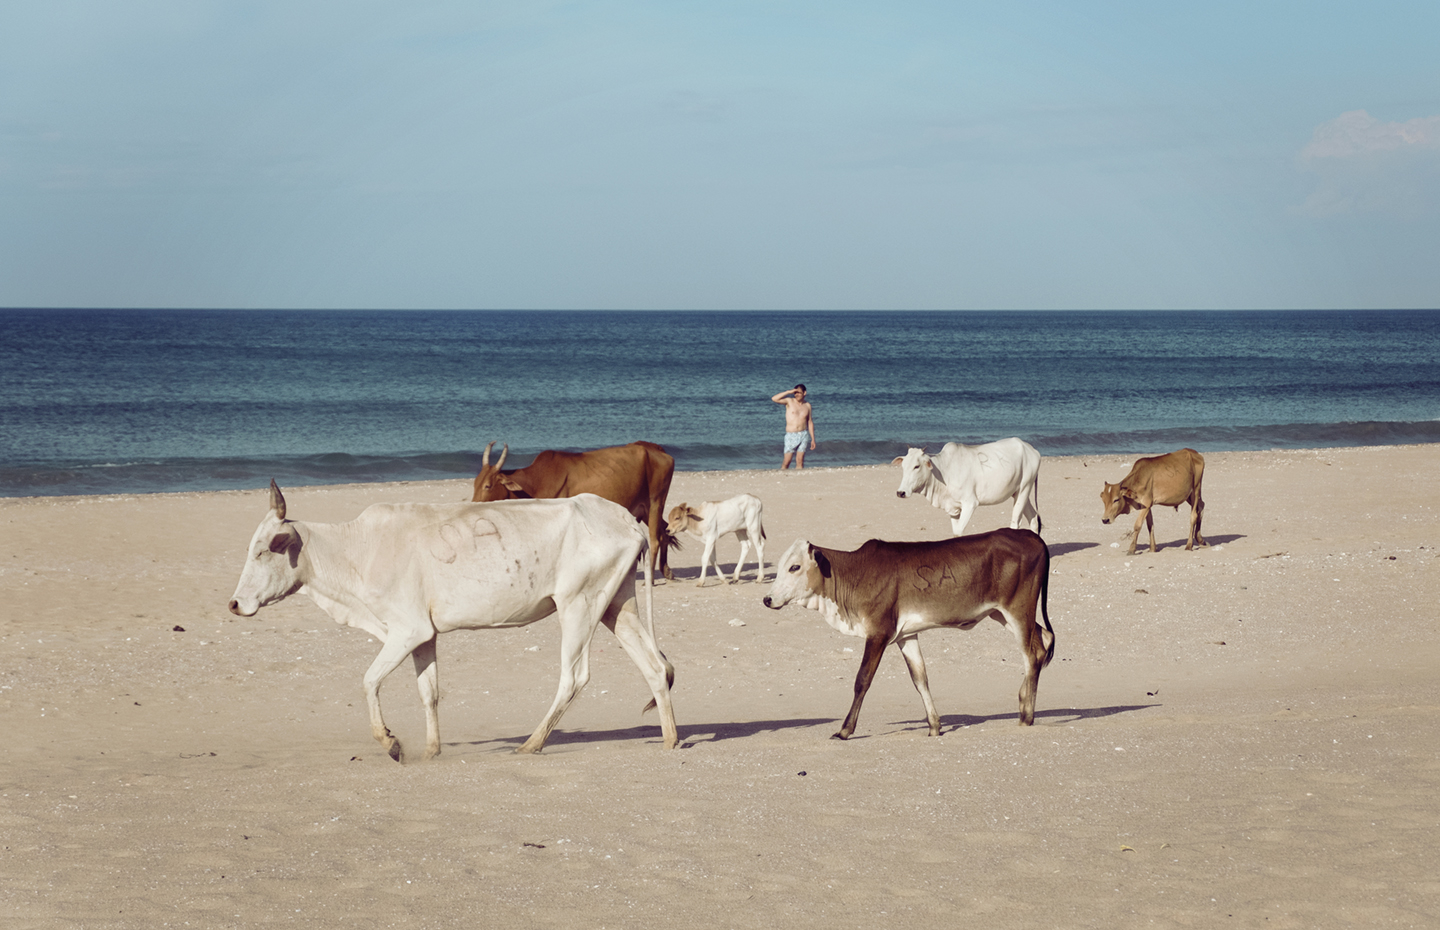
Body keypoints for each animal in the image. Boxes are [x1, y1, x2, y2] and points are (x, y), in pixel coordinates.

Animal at [228, 481, 679, 762]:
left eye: (263, 551)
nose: (234, 604)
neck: (355, 551)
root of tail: (623, 518)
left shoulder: (406, 630)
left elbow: (369, 680)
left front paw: (391, 743)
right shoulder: (424, 635)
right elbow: (429, 692)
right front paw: (431, 750)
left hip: (578, 604)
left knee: (574, 676)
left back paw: (531, 744)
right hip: (615, 604)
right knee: (654, 667)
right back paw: (671, 739)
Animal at [474, 441, 677, 581]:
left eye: (488, 485)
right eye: (475, 483)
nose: (473, 504)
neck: (535, 481)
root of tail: (656, 449)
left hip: (655, 502)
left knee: (655, 539)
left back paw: (651, 578)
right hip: (645, 509)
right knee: (665, 532)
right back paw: (667, 571)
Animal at [762, 529, 1055, 740]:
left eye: (795, 567)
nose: (767, 598)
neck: (853, 574)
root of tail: (1030, 535)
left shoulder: (879, 632)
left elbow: (862, 680)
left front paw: (845, 730)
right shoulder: (905, 636)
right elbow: (920, 679)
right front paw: (934, 726)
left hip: (1018, 610)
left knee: (1031, 655)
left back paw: (1027, 715)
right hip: (1001, 613)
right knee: (1043, 643)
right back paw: (1023, 703)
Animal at [892, 438, 1042, 537]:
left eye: (916, 466)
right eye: (903, 466)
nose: (901, 492)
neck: (944, 471)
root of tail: (1031, 449)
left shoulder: (970, 503)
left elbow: (959, 531)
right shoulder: (952, 508)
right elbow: (955, 532)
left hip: (1024, 488)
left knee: (1015, 522)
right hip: (1018, 492)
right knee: (1034, 518)